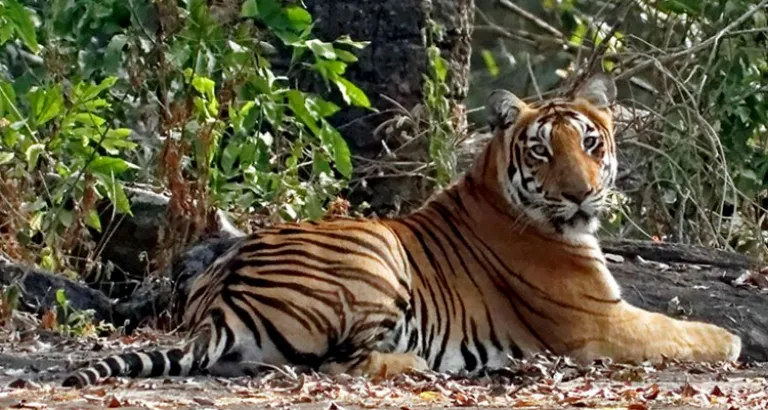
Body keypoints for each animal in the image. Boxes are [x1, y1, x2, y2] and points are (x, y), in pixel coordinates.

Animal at [64, 74, 736, 388]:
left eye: (591, 143)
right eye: (543, 151)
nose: (579, 192)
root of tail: (221, 300)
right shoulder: (599, 322)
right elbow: (687, 332)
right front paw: (731, 340)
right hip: (376, 249)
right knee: (343, 365)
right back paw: (421, 363)